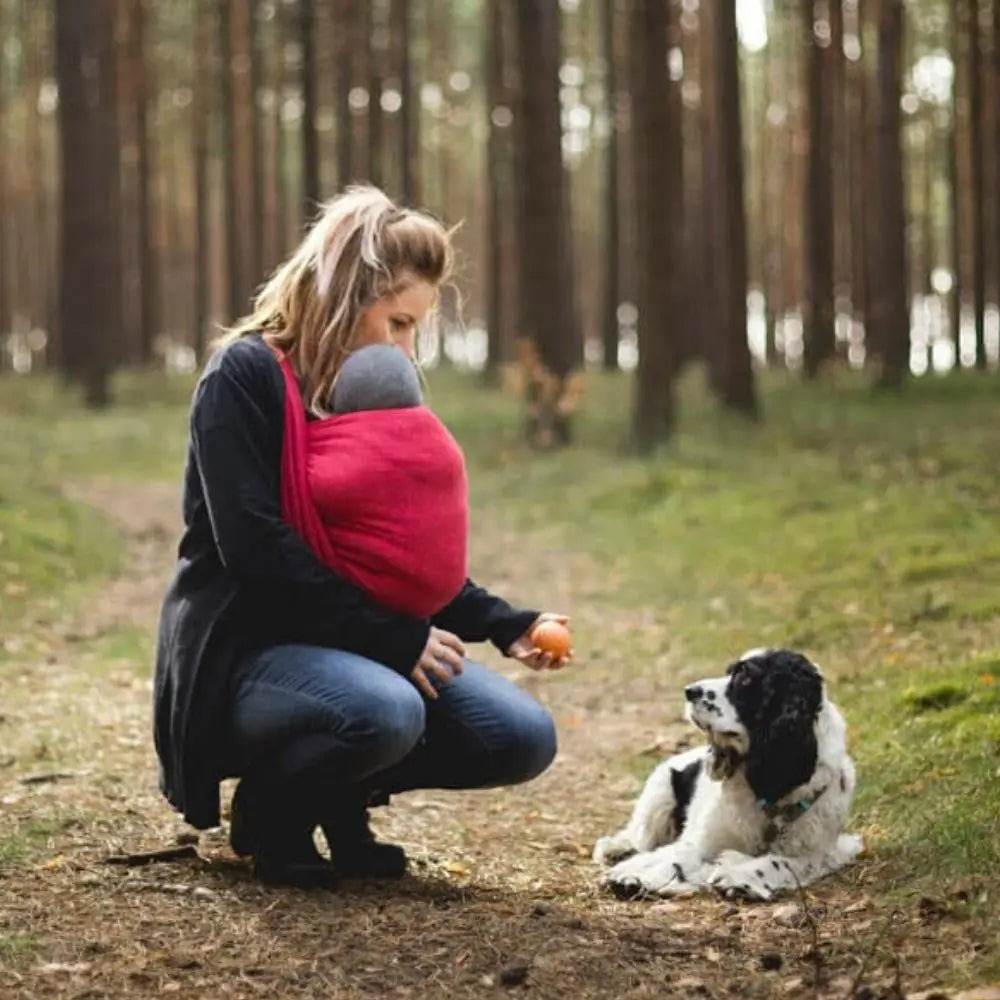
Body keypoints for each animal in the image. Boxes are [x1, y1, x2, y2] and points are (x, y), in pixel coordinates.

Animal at [592, 648, 860, 900]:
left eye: (744, 677)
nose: (689, 691)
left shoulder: (816, 853)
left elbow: (779, 863)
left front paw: (742, 878)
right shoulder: (703, 839)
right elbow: (678, 857)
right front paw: (635, 877)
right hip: (660, 790)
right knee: (640, 837)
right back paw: (617, 849)